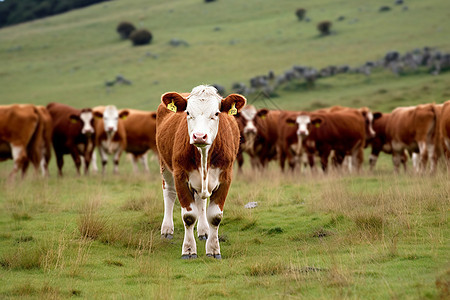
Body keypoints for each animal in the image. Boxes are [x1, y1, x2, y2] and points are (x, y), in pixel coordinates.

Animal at [156, 85, 246, 258]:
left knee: (201, 201)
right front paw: (189, 250)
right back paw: (167, 229)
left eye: (216, 113)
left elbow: (215, 216)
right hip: (165, 165)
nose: (199, 136)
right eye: (187, 113)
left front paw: (213, 249)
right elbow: (189, 216)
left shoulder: (225, 178)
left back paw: (204, 231)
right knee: (169, 193)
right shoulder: (180, 177)